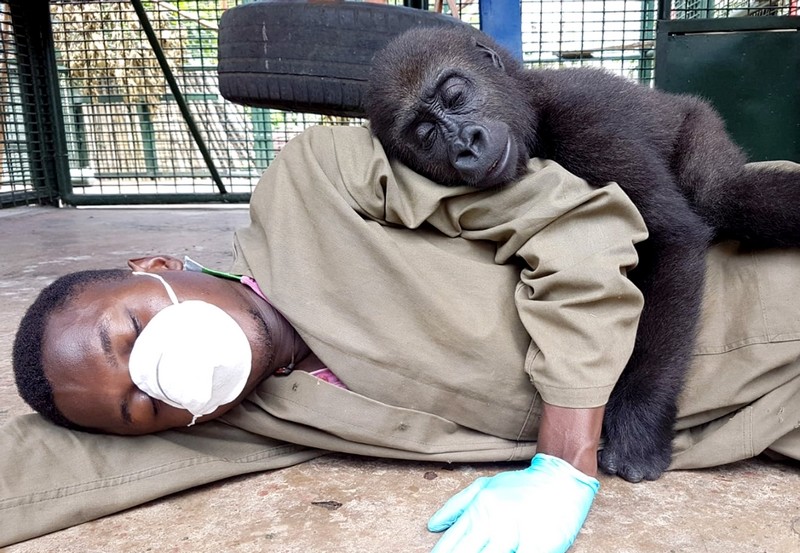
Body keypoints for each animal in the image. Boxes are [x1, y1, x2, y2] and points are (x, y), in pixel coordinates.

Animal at [364, 27, 800, 484]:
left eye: (455, 96)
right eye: (427, 135)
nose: (466, 143)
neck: (532, 108)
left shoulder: (584, 117)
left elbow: (671, 239)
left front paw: (639, 423)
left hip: (700, 124)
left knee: (721, 194)